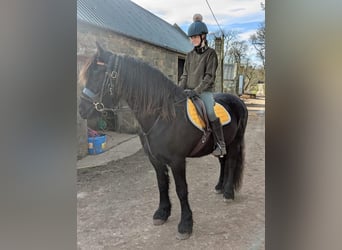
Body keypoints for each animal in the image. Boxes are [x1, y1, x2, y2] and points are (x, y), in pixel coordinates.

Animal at [78, 43, 248, 240]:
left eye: (98, 73)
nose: (82, 109)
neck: (163, 116)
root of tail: (238, 101)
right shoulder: (155, 160)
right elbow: (162, 185)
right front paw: (162, 213)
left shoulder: (177, 161)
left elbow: (181, 190)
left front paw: (185, 225)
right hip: (221, 145)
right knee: (223, 161)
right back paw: (219, 187)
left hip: (235, 142)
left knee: (231, 162)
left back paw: (228, 192)